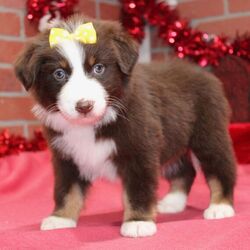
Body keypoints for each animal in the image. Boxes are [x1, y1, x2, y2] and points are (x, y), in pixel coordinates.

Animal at [14, 14, 235, 237]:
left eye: (99, 68)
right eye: (59, 73)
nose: (84, 106)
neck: (91, 125)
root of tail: (204, 73)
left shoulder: (140, 150)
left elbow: (138, 189)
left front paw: (138, 222)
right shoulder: (66, 156)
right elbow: (67, 189)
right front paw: (60, 217)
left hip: (208, 134)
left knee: (220, 168)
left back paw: (220, 206)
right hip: (172, 139)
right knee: (185, 170)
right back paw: (173, 203)